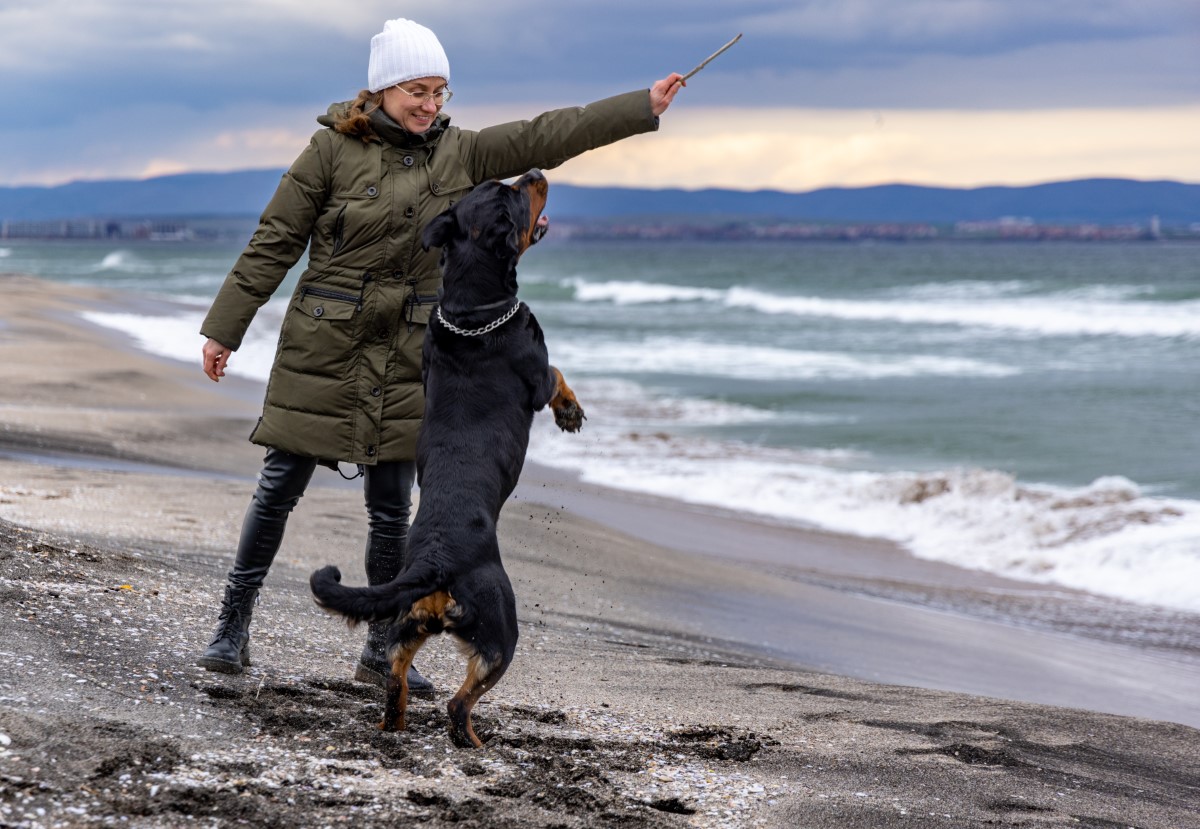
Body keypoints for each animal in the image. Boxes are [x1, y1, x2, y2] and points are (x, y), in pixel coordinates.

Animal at [309, 170, 580, 753]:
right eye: (515, 195)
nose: (536, 174)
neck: (471, 311)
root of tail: (434, 563)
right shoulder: (537, 371)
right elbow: (557, 376)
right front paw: (571, 411)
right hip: (501, 629)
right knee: (460, 703)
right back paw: (473, 743)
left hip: (405, 626)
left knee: (393, 680)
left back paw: (392, 727)